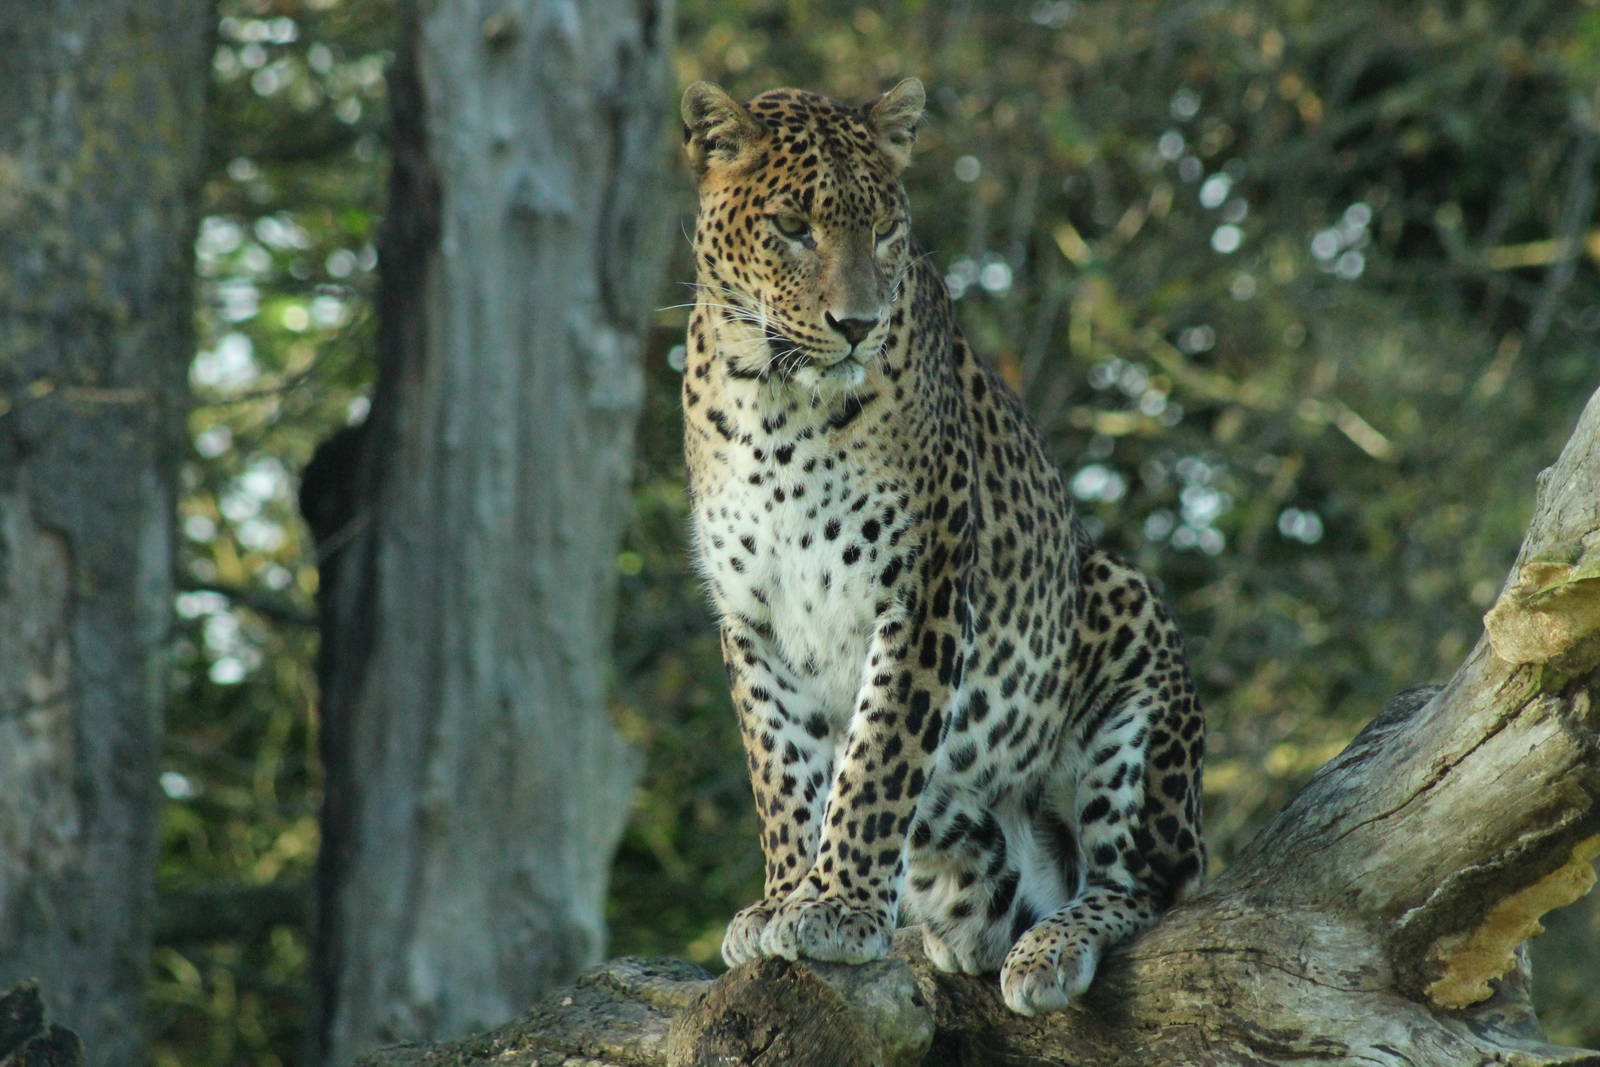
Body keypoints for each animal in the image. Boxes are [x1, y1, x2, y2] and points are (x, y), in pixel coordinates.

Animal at [677, 76, 1205, 1016]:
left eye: (886, 229)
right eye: (792, 226)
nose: (855, 323)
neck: (773, 399)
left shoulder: (919, 590)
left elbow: (876, 760)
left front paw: (836, 905)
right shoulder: (752, 617)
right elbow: (782, 769)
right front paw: (782, 897)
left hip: (1123, 616)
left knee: (1141, 881)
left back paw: (1050, 945)